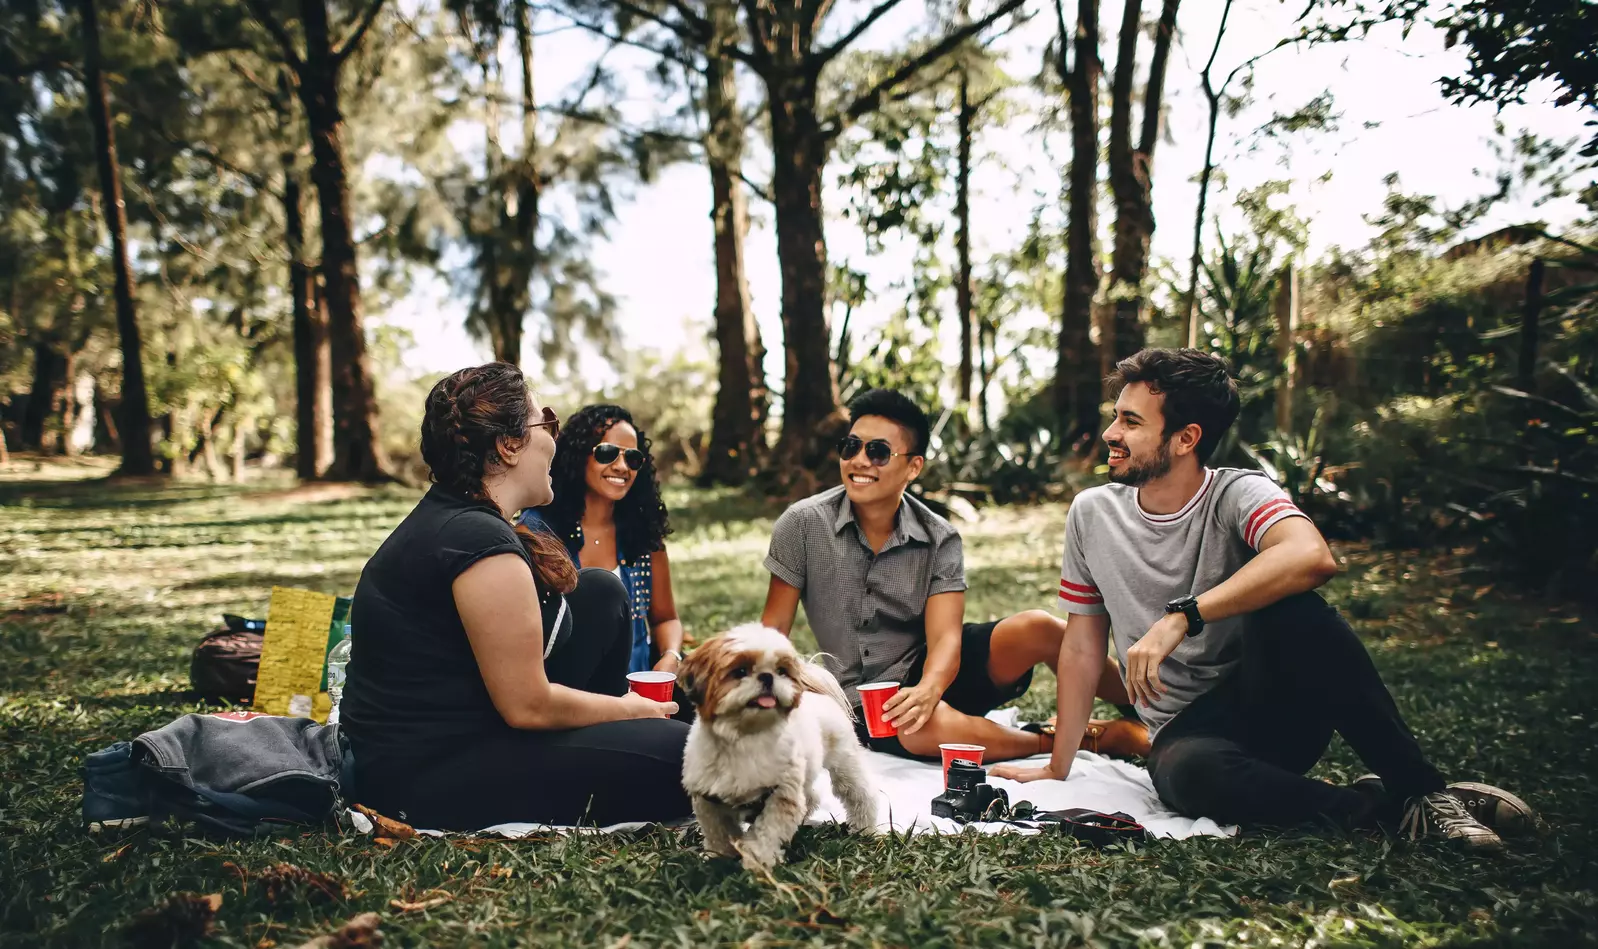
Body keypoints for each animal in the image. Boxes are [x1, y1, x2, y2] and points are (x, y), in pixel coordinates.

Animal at [674, 623, 875, 869]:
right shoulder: (709, 799)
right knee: (810, 797)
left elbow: (767, 832)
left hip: (843, 762)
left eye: (781, 671)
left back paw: (865, 828)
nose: (767, 677)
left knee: (859, 794)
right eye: (740, 671)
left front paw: (757, 860)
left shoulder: (781, 795)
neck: (745, 737)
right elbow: (718, 832)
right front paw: (718, 858)